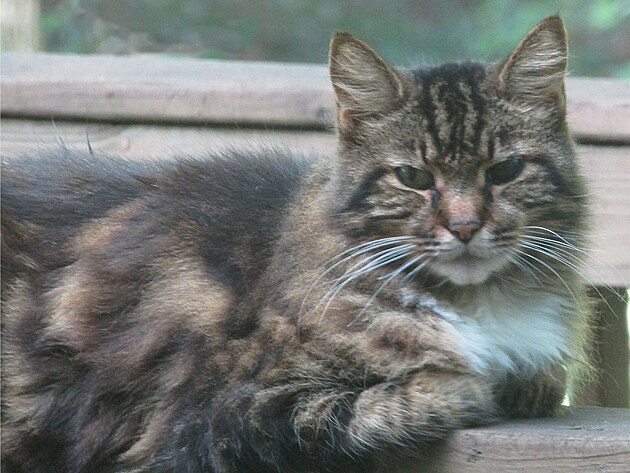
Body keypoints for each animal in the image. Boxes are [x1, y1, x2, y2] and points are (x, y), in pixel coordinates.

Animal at [0, 14, 592, 472]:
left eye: (506, 171)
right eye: (413, 178)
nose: (465, 226)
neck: (475, 306)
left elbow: (539, 377)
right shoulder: (218, 415)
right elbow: (390, 402)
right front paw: (471, 386)